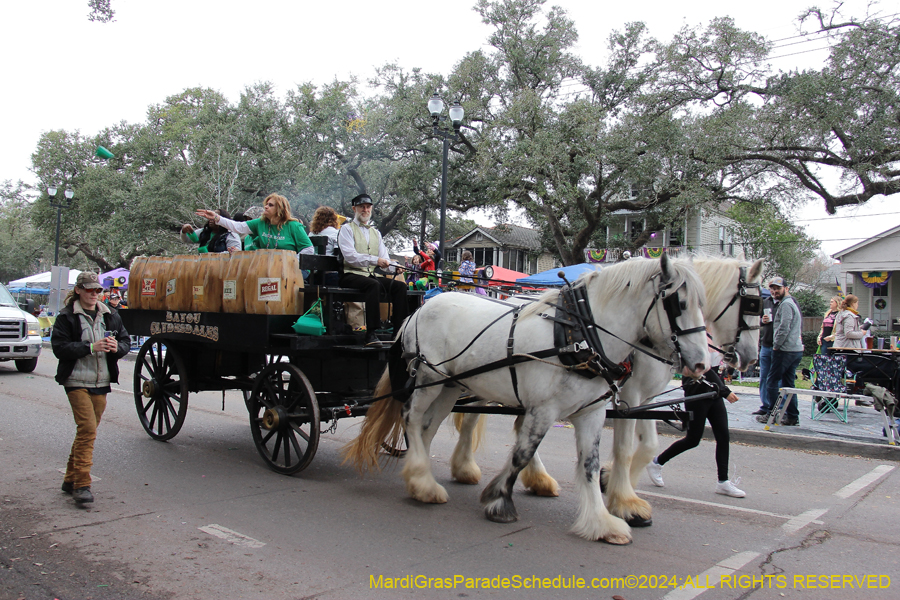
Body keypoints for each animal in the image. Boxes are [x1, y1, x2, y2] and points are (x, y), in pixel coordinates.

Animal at [344, 255, 712, 548]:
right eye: (678, 304)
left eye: (702, 304)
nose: (701, 365)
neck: (579, 335)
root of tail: (419, 309)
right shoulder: (544, 410)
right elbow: (522, 454)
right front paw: (499, 500)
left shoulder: (591, 413)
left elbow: (590, 466)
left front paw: (601, 521)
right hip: (427, 380)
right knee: (410, 416)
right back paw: (423, 479)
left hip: (449, 387)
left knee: (425, 427)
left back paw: (421, 481)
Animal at [454, 255, 764, 532]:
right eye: (751, 304)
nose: (750, 358)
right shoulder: (631, 395)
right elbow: (625, 448)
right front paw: (623, 499)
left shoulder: (644, 398)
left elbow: (649, 445)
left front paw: (611, 481)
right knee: (472, 421)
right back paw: (465, 468)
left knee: (513, 424)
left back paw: (536, 479)